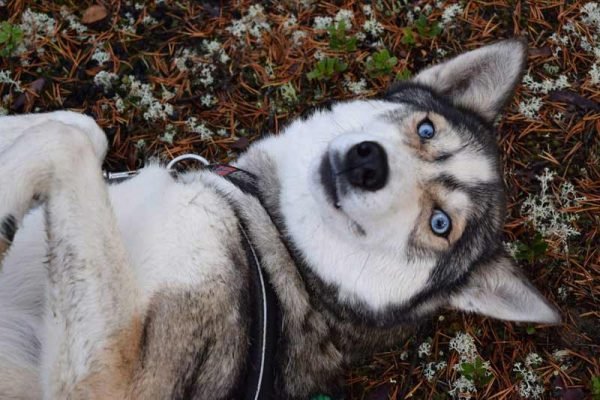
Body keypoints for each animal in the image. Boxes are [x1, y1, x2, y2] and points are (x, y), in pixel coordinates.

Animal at [0, 38, 556, 400]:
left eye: (441, 224)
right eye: (425, 128)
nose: (368, 163)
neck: (261, 218)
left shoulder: (115, 380)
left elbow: (64, 139)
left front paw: (7, 191)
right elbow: (83, 126)